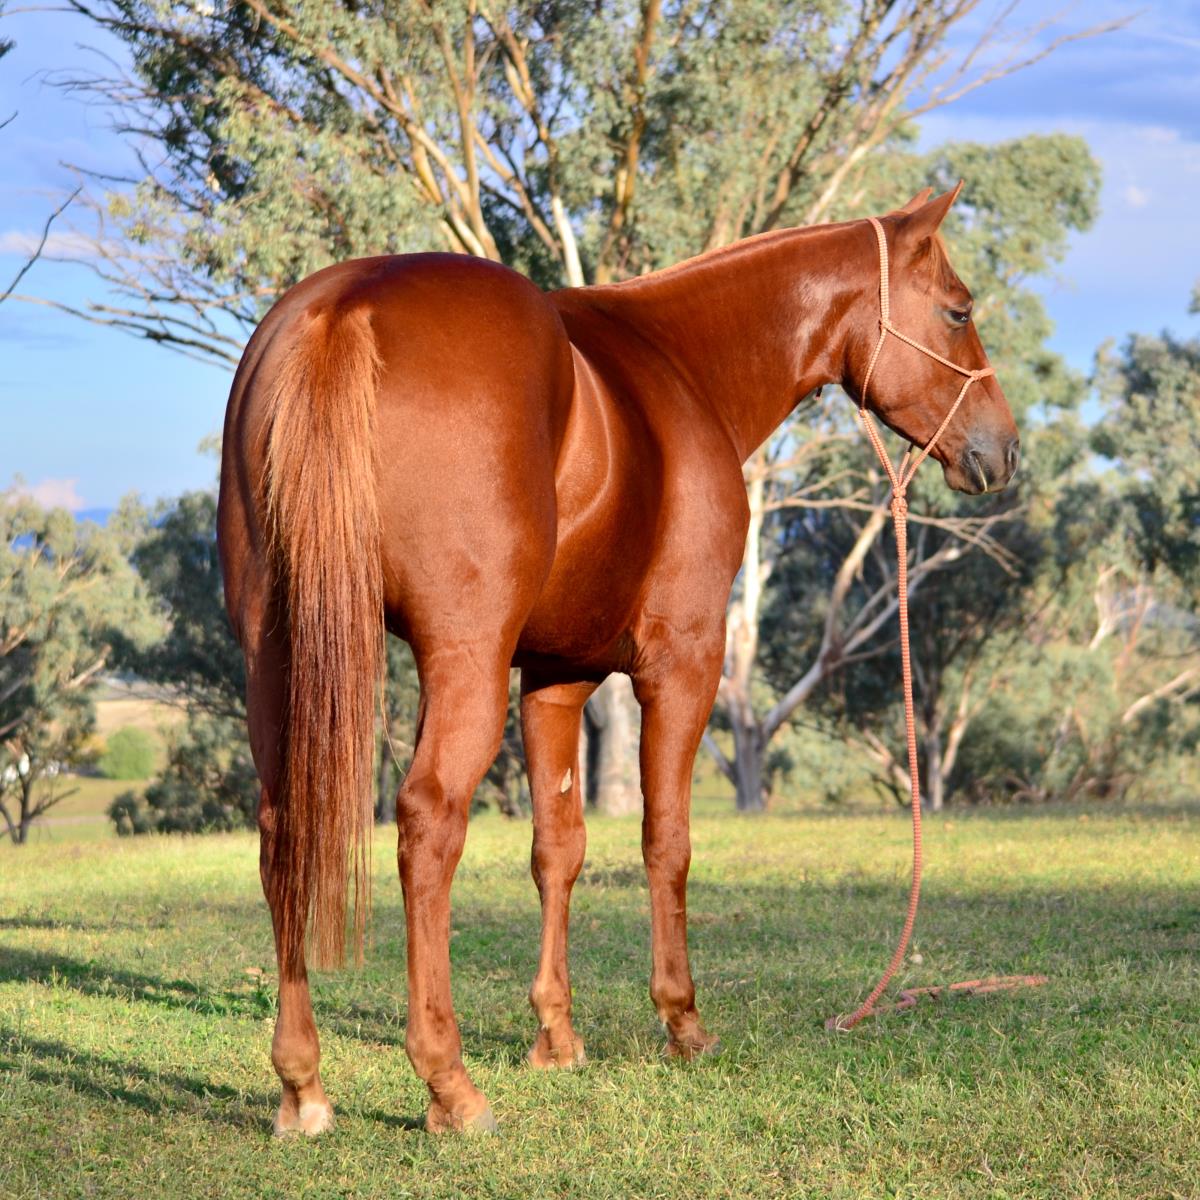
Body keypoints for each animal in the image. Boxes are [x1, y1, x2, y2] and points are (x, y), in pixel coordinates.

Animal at [217, 184, 1019, 1136]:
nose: (1004, 450)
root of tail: (348, 306)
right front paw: (683, 1021)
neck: (679, 366)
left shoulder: (554, 678)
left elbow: (557, 849)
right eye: (959, 310)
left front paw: (555, 1037)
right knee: (427, 823)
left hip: (277, 652)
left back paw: (301, 1085)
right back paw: (449, 1083)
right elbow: (665, 840)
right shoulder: (685, 660)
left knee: (283, 828)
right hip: (461, 662)